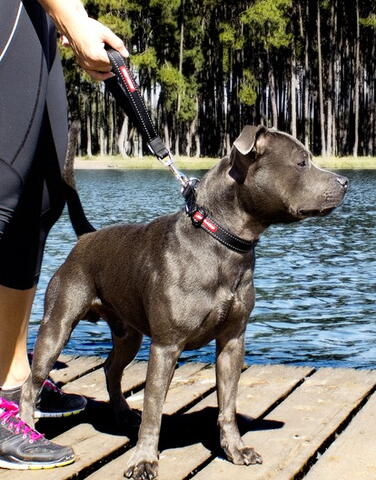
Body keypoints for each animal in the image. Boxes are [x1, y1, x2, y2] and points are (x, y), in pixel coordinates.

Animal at [19, 125, 346, 478]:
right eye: (301, 162)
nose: (345, 181)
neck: (221, 239)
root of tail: (87, 238)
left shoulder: (232, 341)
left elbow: (227, 404)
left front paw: (236, 450)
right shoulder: (166, 346)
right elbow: (153, 408)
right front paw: (143, 460)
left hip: (129, 335)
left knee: (110, 369)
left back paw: (122, 414)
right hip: (57, 326)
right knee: (31, 384)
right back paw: (30, 433)